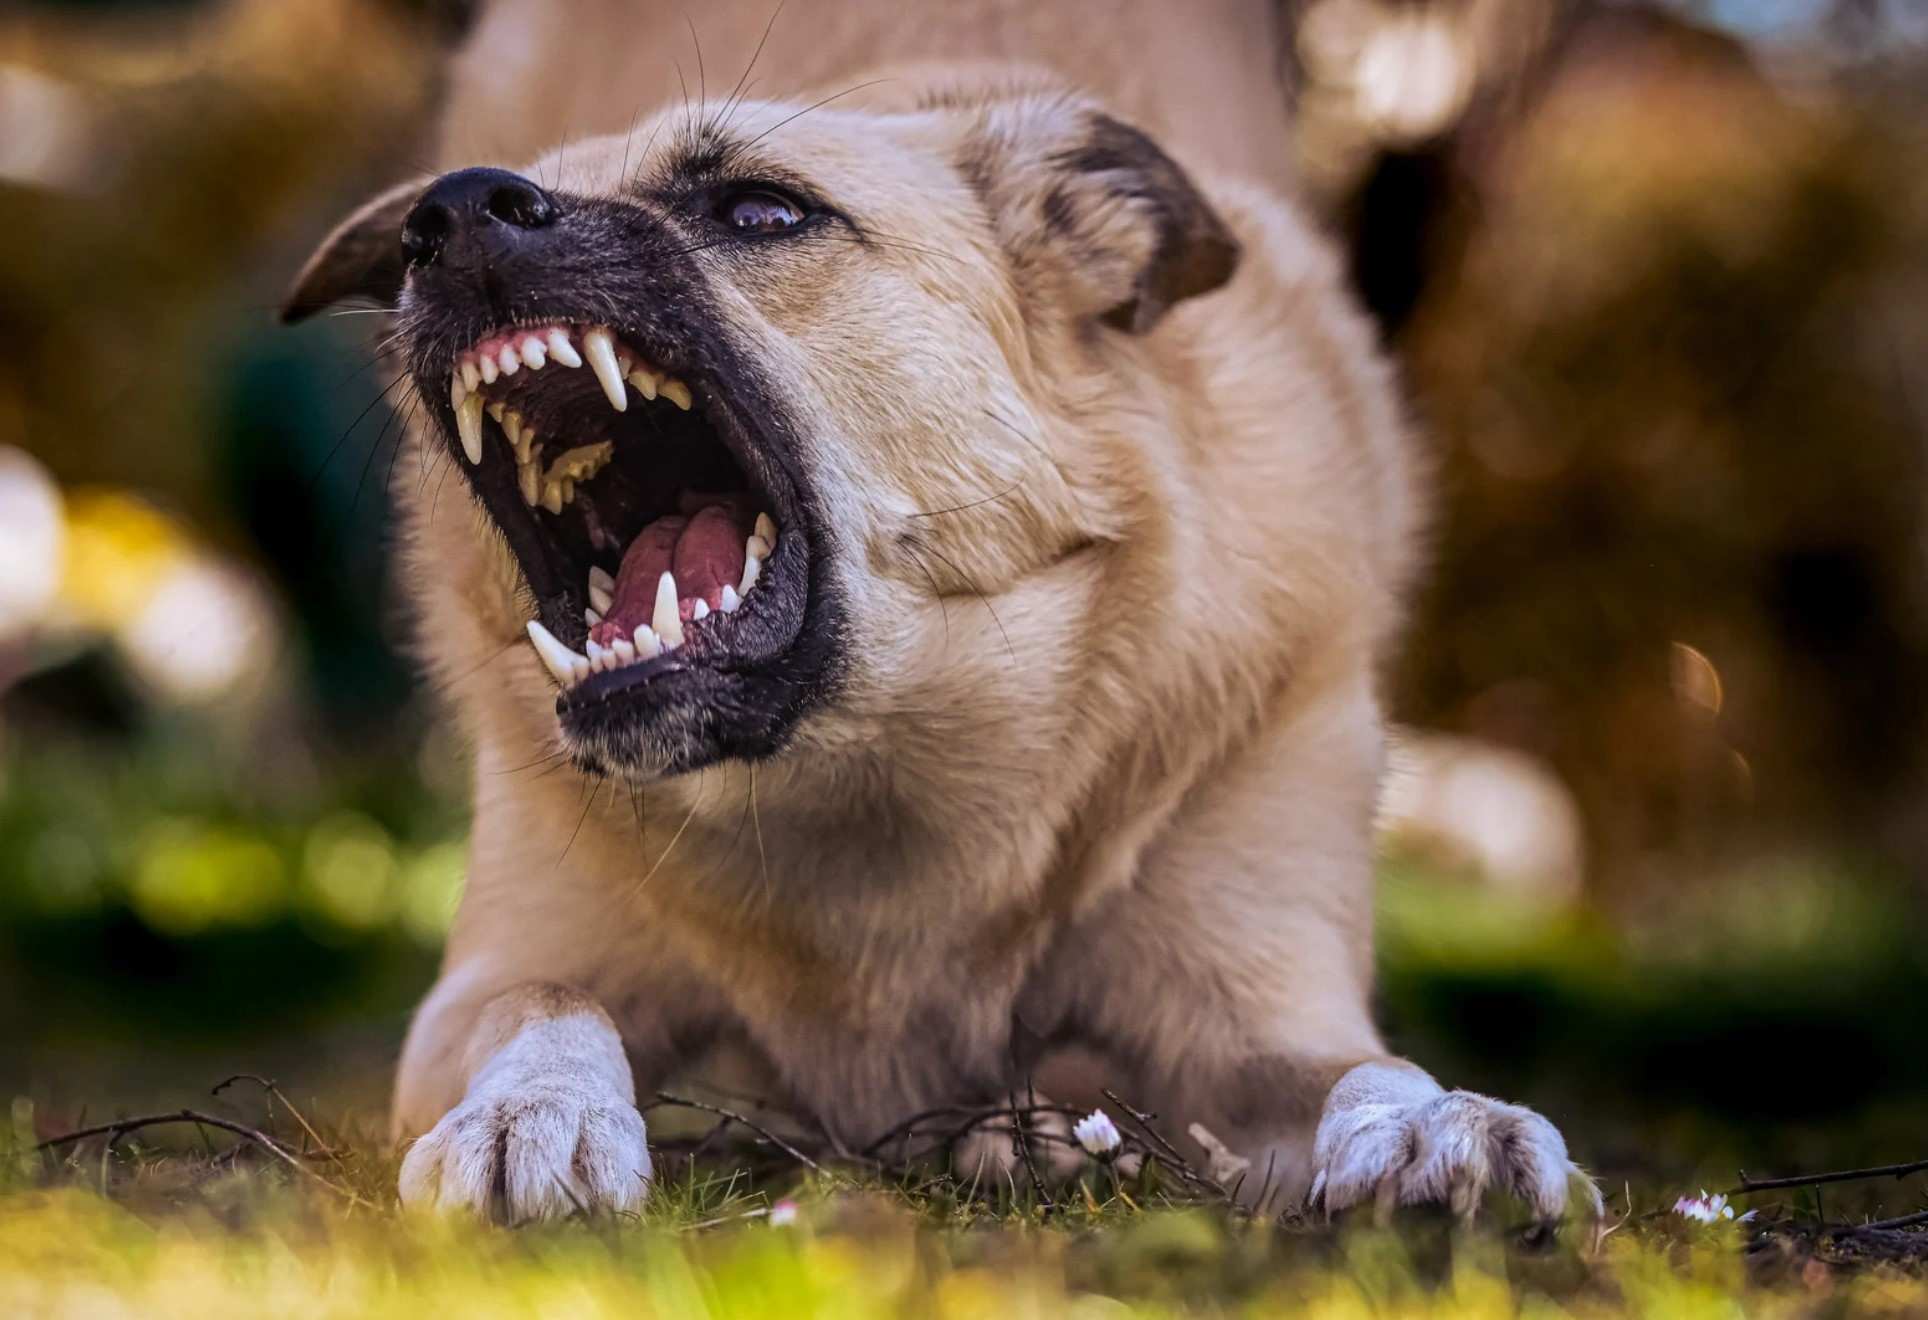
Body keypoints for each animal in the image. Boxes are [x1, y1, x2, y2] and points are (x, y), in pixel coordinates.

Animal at [275, 0, 1596, 1217]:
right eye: (424, 231)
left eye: (761, 211)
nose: (444, 218)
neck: (868, 781)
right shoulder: (494, 976)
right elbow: (548, 1000)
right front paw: (531, 1110)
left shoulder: (1258, 1010)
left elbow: (1362, 1068)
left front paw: (1439, 1123)